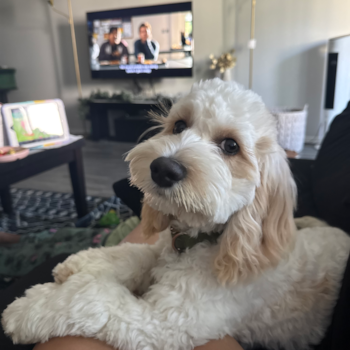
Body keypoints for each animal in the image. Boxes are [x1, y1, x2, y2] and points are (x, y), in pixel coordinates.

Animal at [2, 79, 350, 350]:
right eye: (179, 126)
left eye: (230, 146)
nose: (163, 169)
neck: (200, 241)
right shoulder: (159, 252)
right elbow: (130, 254)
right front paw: (81, 262)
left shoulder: (162, 325)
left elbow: (91, 298)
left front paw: (30, 308)